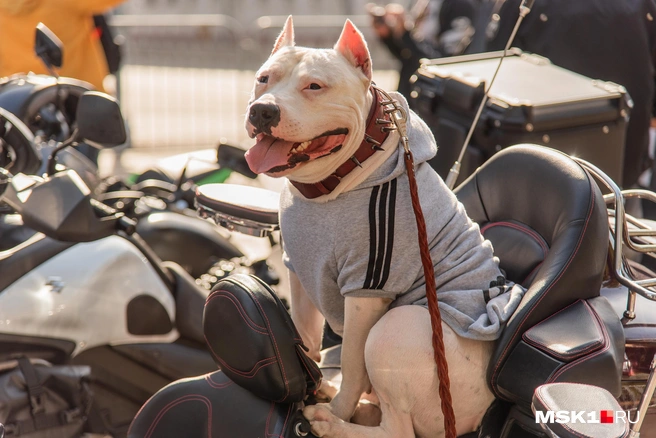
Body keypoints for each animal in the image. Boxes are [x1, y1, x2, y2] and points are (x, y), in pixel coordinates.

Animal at [243, 15, 524, 436]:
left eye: (314, 86)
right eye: (264, 78)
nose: (263, 111)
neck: (333, 184)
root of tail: (483, 410)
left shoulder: (367, 288)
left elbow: (353, 361)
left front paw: (337, 407)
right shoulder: (299, 271)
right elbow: (304, 335)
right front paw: (312, 380)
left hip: (396, 330)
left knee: (396, 427)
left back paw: (334, 422)